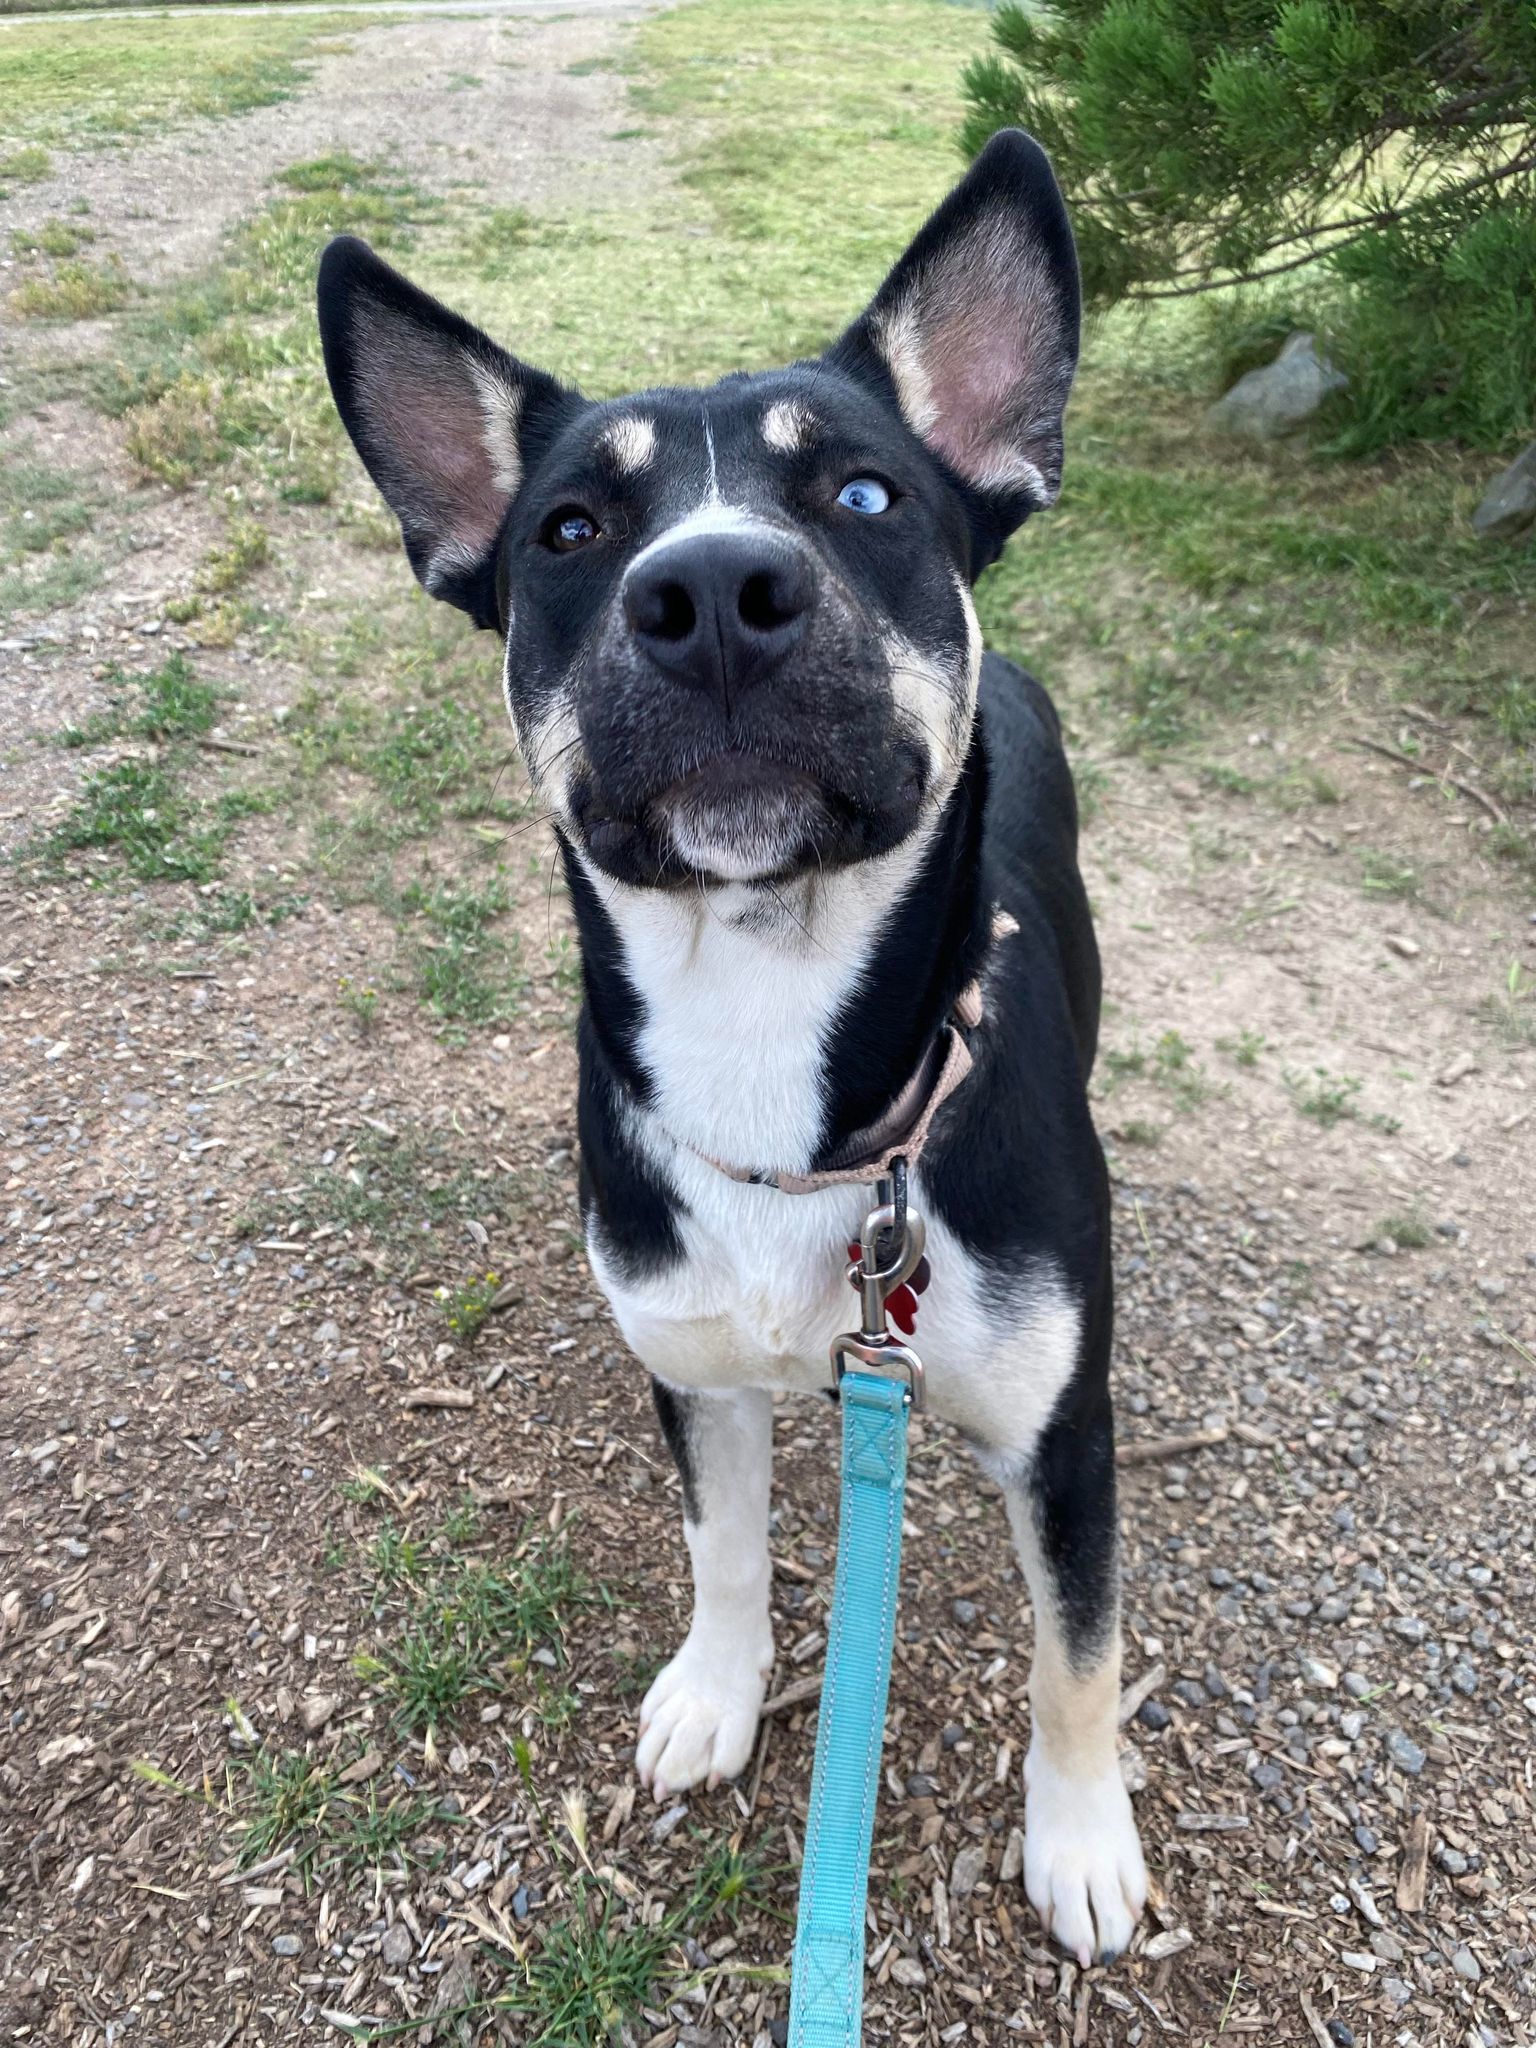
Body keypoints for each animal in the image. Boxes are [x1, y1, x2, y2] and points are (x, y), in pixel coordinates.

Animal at [319, 128, 1146, 1966]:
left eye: (864, 496)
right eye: (568, 527)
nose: (705, 590)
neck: (779, 1057)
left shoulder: (1063, 1435)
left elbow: (1077, 1654)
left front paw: (1080, 1835)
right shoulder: (689, 1368)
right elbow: (722, 1550)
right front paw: (717, 1691)